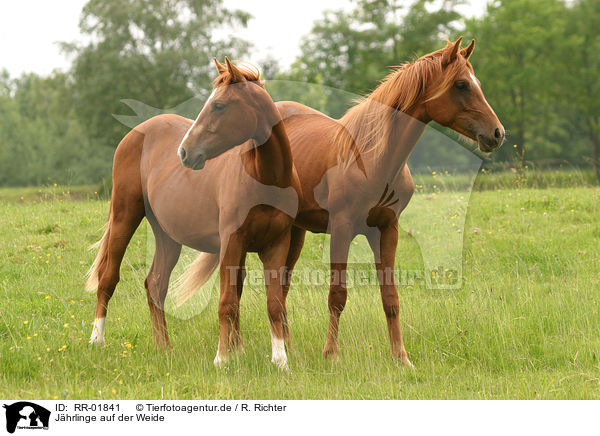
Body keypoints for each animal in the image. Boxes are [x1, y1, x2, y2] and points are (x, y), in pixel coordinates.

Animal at [274, 37, 504, 366]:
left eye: (477, 83)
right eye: (461, 84)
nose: (497, 133)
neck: (373, 157)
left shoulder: (386, 230)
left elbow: (390, 297)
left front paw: (401, 357)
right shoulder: (341, 229)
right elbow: (337, 294)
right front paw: (331, 353)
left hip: (296, 231)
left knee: (282, 285)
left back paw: (288, 346)